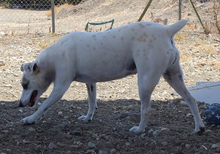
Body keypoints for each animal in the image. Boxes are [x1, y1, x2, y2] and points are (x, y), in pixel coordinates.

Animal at [18, 19, 205, 134]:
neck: (54, 57)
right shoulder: (90, 83)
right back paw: (199, 127)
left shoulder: (60, 88)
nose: (19, 104)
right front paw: (88, 118)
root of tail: (166, 30)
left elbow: (43, 106)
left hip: (145, 82)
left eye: (25, 85)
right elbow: (91, 103)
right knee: (191, 99)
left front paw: (29, 119)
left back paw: (139, 129)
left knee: (146, 109)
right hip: (173, 77)